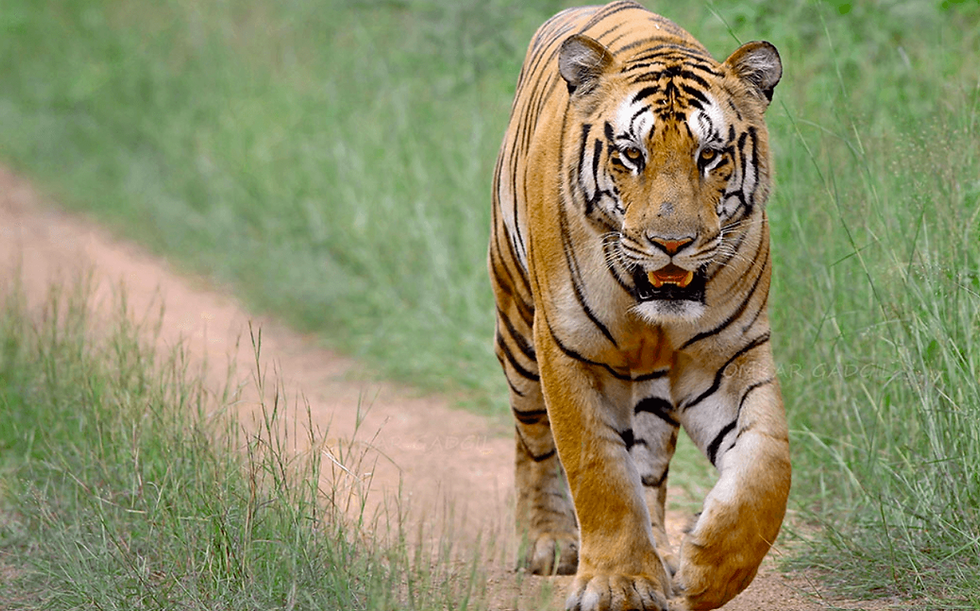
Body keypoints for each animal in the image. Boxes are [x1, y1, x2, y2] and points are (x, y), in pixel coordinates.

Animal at [488, 2, 791, 610]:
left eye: (709, 156)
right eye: (632, 155)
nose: (671, 243)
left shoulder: (726, 355)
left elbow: (767, 466)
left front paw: (708, 572)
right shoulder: (569, 349)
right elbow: (598, 468)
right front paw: (617, 584)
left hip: (653, 387)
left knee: (648, 464)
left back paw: (664, 555)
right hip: (517, 334)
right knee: (533, 444)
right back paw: (548, 544)